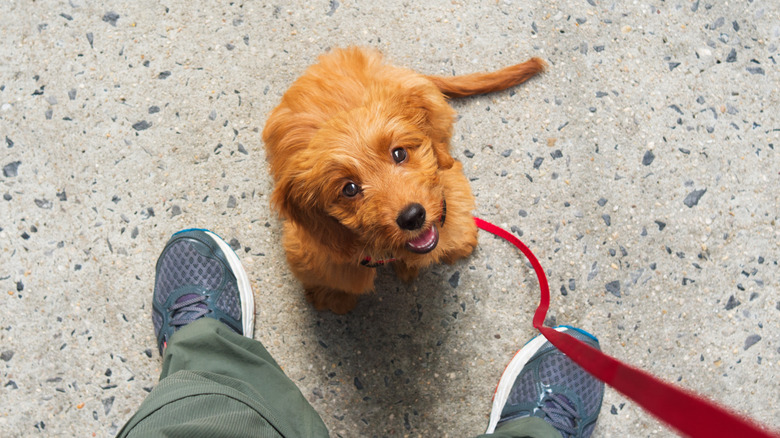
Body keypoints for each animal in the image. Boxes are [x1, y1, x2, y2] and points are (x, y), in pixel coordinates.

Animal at [262, 48, 544, 314]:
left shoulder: (447, 185)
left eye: (399, 153)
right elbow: (335, 276)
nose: (412, 217)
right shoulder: (314, 249)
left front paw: (458, 241)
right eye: (349, 189)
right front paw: (333, 296)